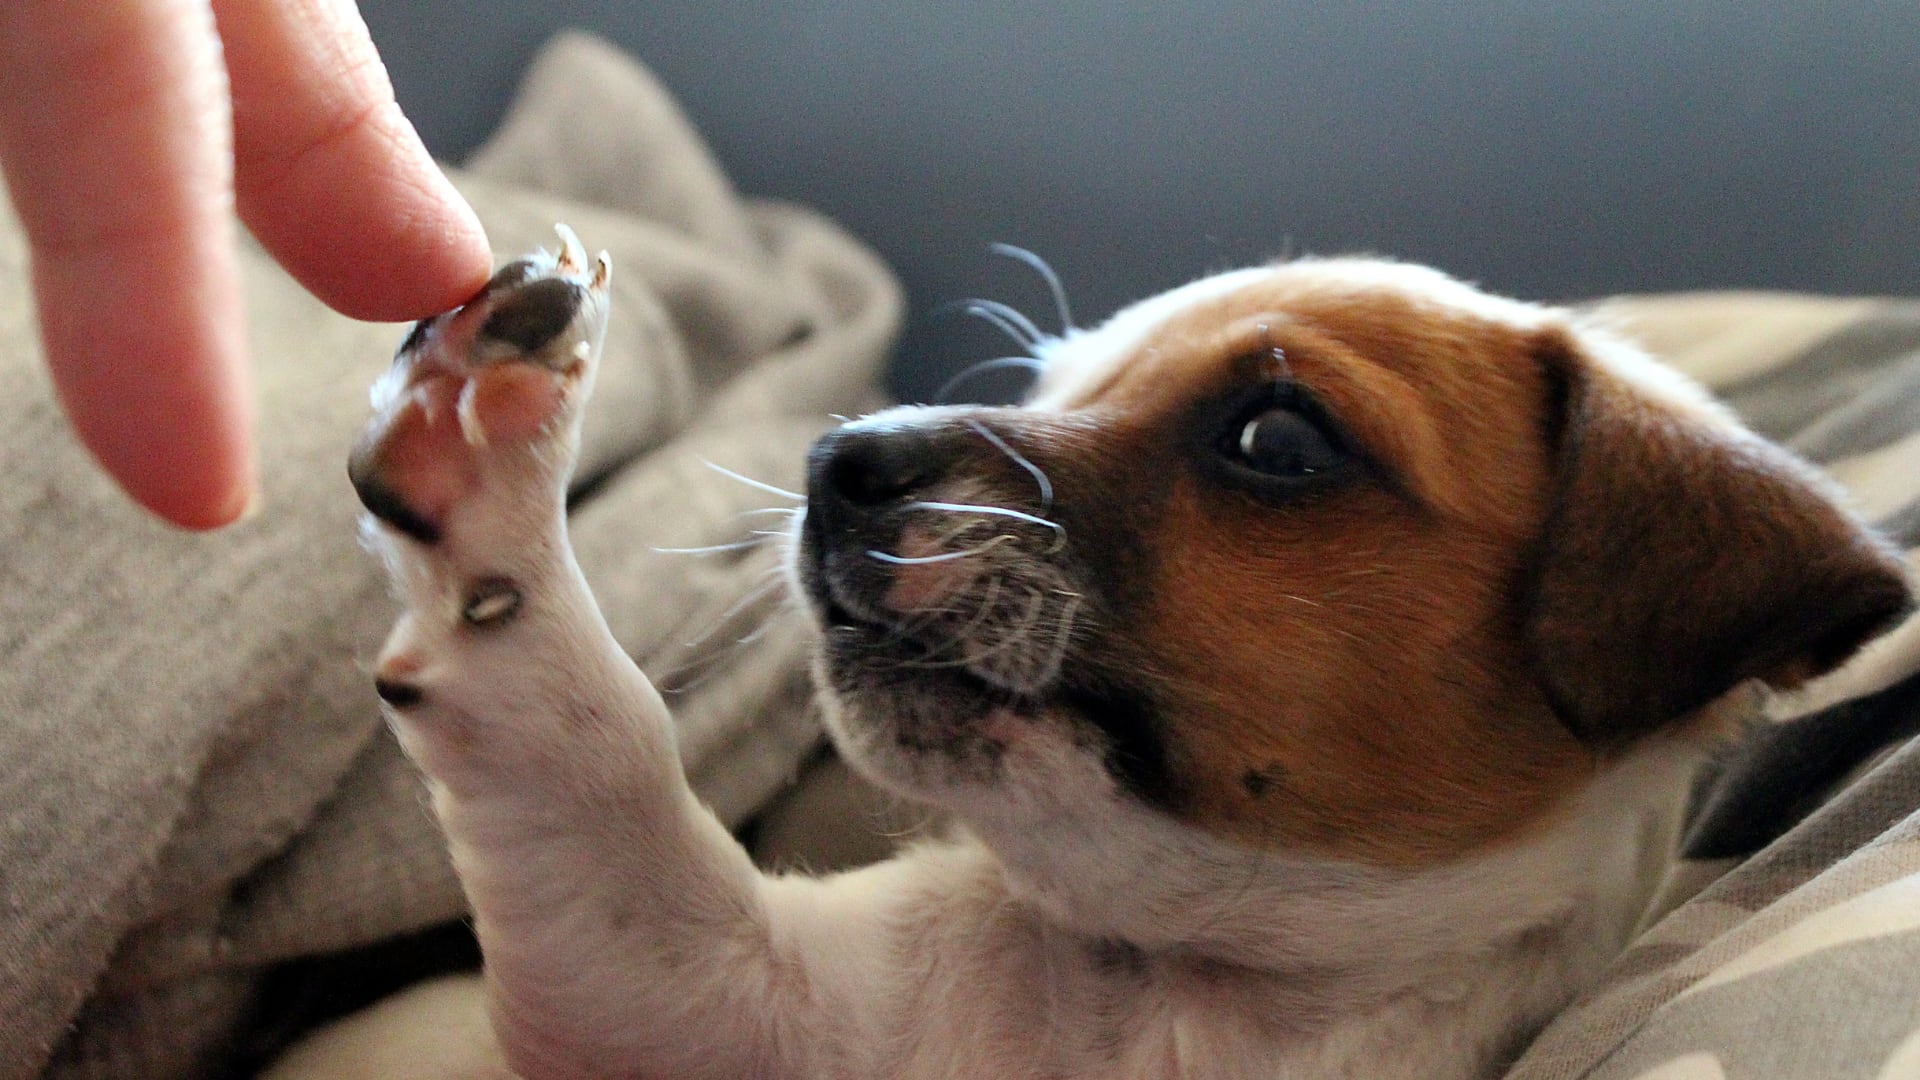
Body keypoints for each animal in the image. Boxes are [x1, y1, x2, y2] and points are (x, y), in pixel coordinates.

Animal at [322, 235, 1912, 1076]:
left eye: (1278, 440)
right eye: (1049, 384)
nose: (836, 459)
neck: (1172, 988)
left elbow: (585, 738)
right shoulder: (687, 997)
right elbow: (593, 741)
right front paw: (483, 451)